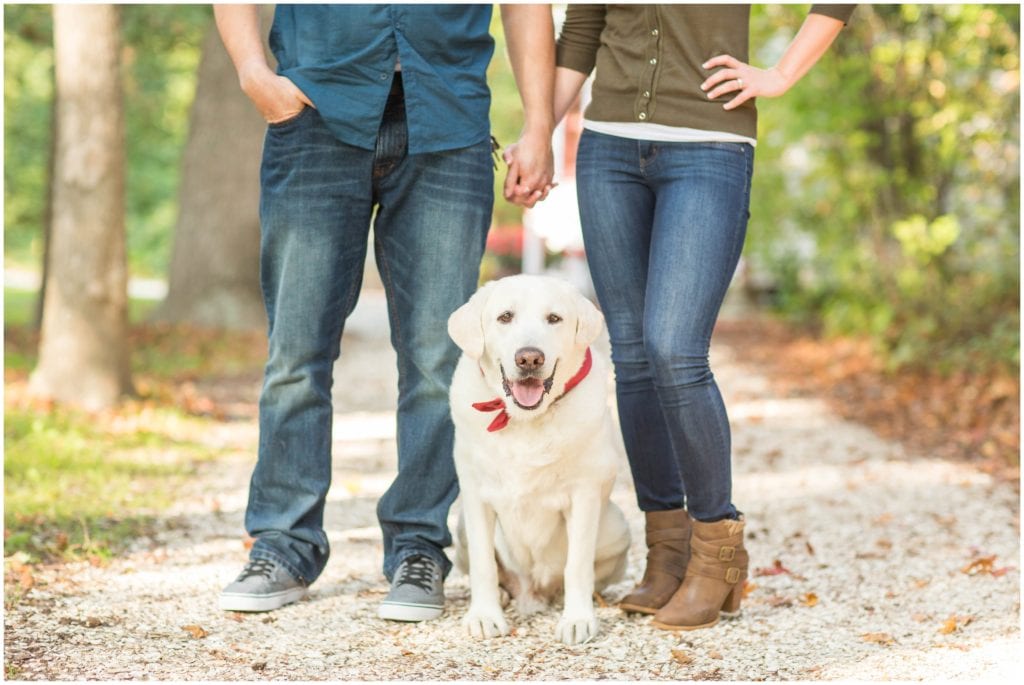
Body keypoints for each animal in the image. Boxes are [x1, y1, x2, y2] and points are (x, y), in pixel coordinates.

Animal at [450, 270, 630, 643]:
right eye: (505, 317)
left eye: (554, 319)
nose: (529, 358)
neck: (525, 420)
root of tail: (533, 590)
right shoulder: (475, 495)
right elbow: (483, 564)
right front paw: (484, 615)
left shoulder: (584, 495)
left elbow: (578, 565)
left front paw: (578, 619)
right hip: (459, 527)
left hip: (617, 527)